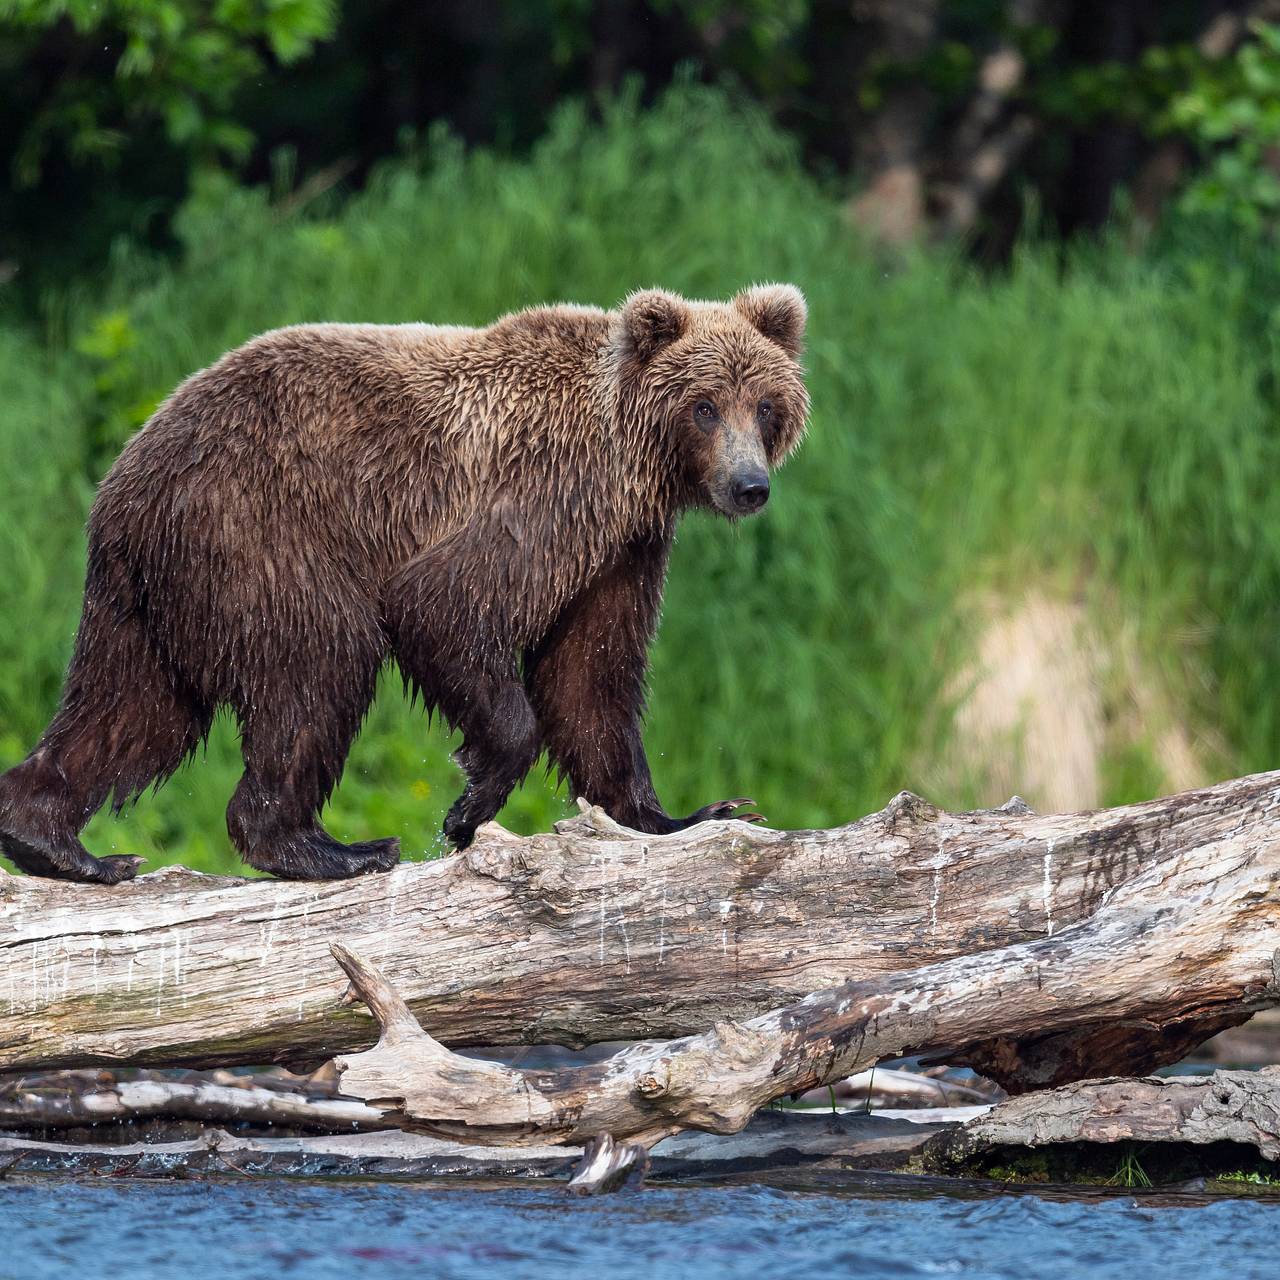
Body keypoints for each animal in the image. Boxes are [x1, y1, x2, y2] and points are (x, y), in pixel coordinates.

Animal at [0, 282, 803, 880]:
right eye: (704, 406)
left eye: (765, 405)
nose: (749, 485)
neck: (630, 467)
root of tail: (121, 480)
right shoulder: (541, 499)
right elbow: (443, 605)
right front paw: (469, 806)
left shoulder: (620, 552)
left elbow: (591, 678)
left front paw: (691, 814)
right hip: (257, 530)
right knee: (319, 662)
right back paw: (330, 848)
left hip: (154, 595)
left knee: (131, 708)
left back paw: (55, 841)